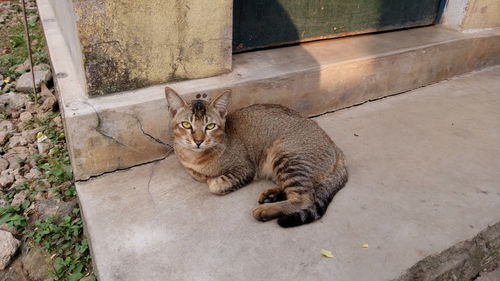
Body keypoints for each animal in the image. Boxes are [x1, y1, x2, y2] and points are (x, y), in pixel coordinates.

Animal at [164, 87, 348, 228]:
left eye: (210, 126)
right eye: (186, 125)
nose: (198, 141)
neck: (195, 158)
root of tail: (337, 149)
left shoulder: (246, 168)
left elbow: (215, 185)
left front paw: (211, 179)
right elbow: (196, 174)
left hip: (286, 154)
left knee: (305, 198)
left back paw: (266, 210)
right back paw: (271, 196)